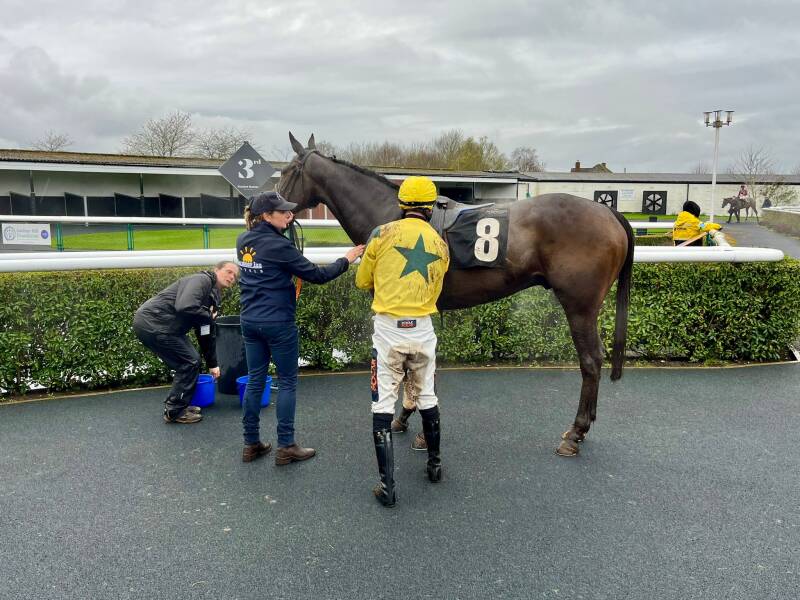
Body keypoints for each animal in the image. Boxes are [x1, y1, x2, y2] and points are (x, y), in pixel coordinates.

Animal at [278, 133, 634, 457]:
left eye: (287, 172)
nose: (268, 201)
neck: (395, 218)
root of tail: (609, 214)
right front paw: (406, 418)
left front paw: (418, 428)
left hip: (580, 307)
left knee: (591, 360)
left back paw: (575, 432)